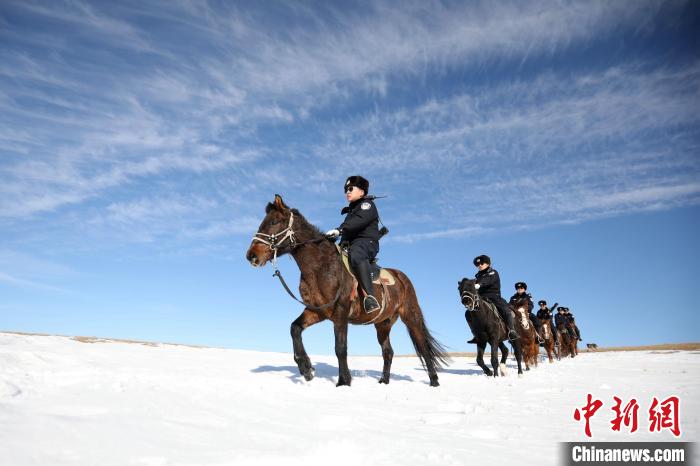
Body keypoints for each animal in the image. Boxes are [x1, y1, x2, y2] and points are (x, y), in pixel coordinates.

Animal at [243, 195, 448, 388]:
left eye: (274, 221)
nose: (251, 255)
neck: (321, 267)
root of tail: (402, 278)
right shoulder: (317, 311)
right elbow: (295, 329)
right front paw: (306, 367)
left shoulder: (340, 313)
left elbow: (340, 348)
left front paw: (343, 381)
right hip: (382, 325)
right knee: (388, 352)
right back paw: (384, 381)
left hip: (411, 317)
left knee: (423, 348)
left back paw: (434, 381)